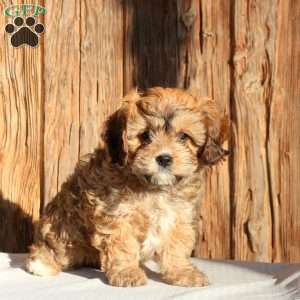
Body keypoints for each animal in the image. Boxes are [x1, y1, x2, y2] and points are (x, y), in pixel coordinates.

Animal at [26, 86, 230, 286]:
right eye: (145, 136)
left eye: (183, 136)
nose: (164, 158)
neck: (154, 187)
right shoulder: (117, 215)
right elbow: (123, 245)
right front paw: (127, 273)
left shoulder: (179, 215)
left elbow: (176, 246)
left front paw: (183, 273)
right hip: (60, 227)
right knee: (54, 246)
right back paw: (42, 263)